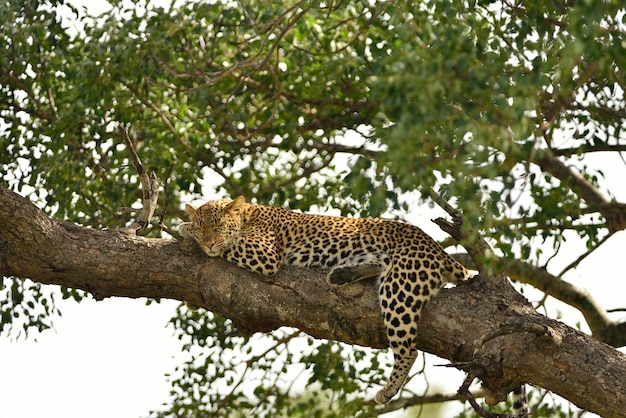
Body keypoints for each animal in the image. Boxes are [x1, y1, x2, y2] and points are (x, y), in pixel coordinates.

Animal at [178, 196, 470, 404]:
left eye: (218, 226)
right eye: (205, 226)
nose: (209, 242)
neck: (249, 213)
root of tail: (439, 250)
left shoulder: (264, 253)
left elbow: (230, 244)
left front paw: (185, 228)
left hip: (400, 287)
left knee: (408, 349)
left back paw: (388, 390)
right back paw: (342, 274)